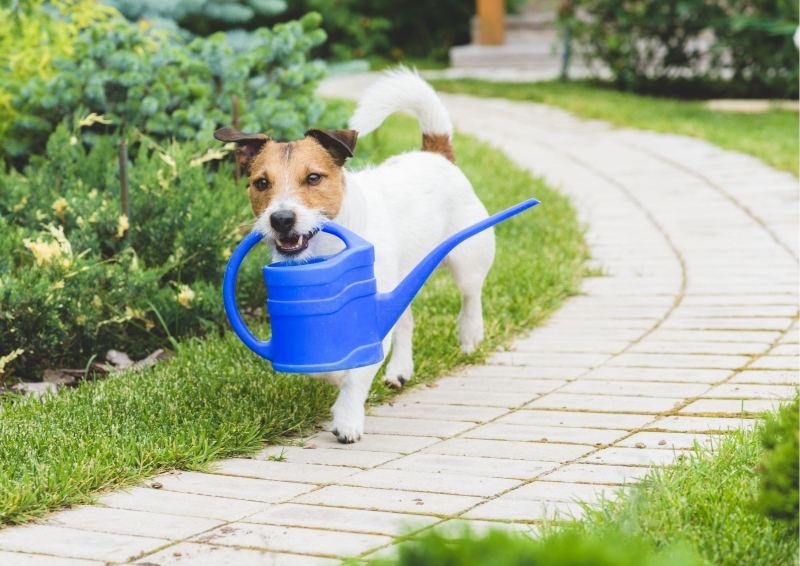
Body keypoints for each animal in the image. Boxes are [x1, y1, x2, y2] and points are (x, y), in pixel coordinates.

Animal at [216, 69, 496, 446]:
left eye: (313, 177)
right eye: (261, 183)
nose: (281, 219)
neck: (324, 250)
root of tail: (436, 153)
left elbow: (356, 375)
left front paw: (347, 418)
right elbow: (334, 365)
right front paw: (337, 376)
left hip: (467, 256)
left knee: (471, 293)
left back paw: (469, 334)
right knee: (406, 320)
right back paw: (399, 369)